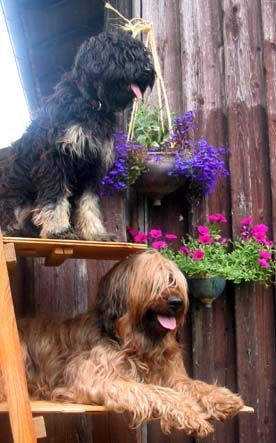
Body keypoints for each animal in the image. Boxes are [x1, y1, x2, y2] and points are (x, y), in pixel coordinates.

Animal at [0, 30, 155, 241]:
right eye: (123, 55)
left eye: (142, 54)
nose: (148, 70)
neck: (92, 104)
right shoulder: (55, 160)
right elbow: (55, 197)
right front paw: (58, 229)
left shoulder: (92, 166)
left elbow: (88, 203)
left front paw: (95, 232)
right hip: (15, 194)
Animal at [0, 251, 243, 438]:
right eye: (153, 283)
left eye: (173, 280)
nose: (176, 302)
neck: (137, 343)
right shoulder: (99, 377)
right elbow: (155, 391)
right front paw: (192, 414)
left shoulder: (171, 375)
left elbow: (192, 384)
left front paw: (224, 397)